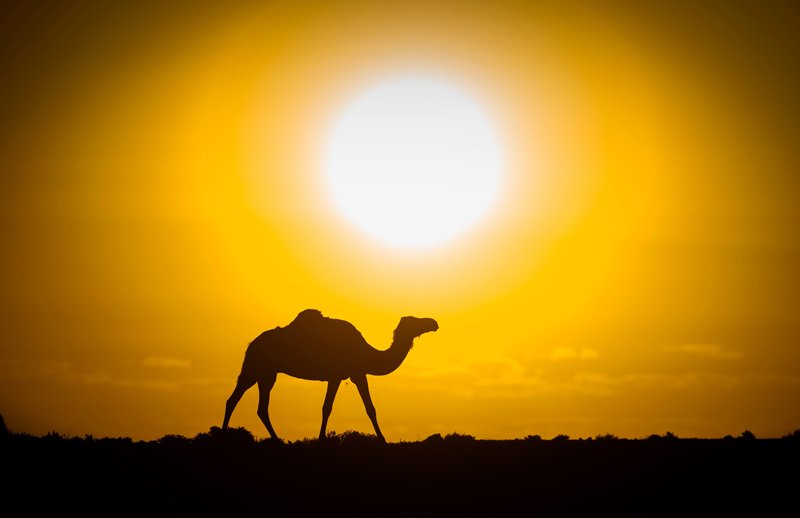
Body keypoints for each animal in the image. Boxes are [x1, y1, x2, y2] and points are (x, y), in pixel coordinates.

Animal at [222, 310, 440, 444]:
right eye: (414, 321)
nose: (434, 322)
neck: (365, 352)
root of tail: (251, 344)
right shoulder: (343, 374)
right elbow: (331, 408)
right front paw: (321, 440)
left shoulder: (354, 373)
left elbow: (366, 408)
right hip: (258, 368)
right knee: (243, 401)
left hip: (263, 372)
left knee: (246, 403)